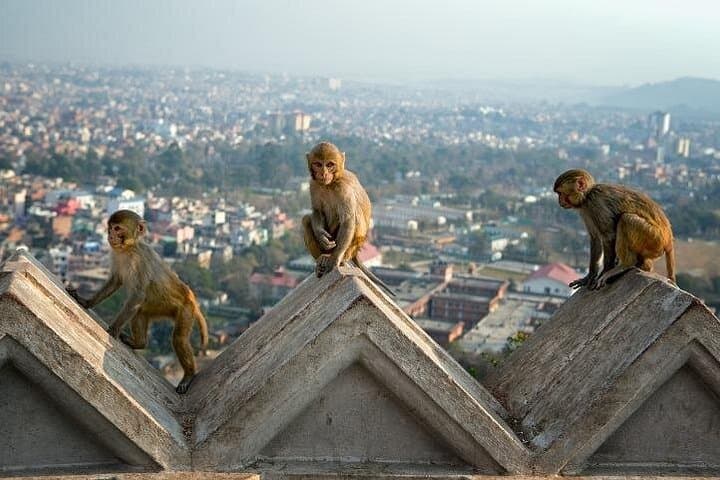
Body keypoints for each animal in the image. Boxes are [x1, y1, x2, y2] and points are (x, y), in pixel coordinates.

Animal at [70, 210, 208, 394]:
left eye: (117, 228)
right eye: (110, 227)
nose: (110, 235)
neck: (129, 249)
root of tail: (191, 297)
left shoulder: (139, 260)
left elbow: (138, 294)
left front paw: (114, 329)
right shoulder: (116, 255)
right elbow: (116, 282)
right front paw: (87, 302)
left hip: (186, 309)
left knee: (178, 337)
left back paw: (188, 375)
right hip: (159, 308)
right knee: (140, 312)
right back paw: (139, 343)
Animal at [302, 141, 395, 296]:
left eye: (330, 164)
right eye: (318, 164)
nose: (323, 173)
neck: (330, 184)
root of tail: (355, 252)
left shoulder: (343, 189)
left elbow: (348, 220)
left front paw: (334, 261)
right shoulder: (313, 185)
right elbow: (317, 211)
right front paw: (321, 235)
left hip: (352, 246)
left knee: (353, 218)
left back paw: (336, 258)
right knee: (306, 220)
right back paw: (321, 258)